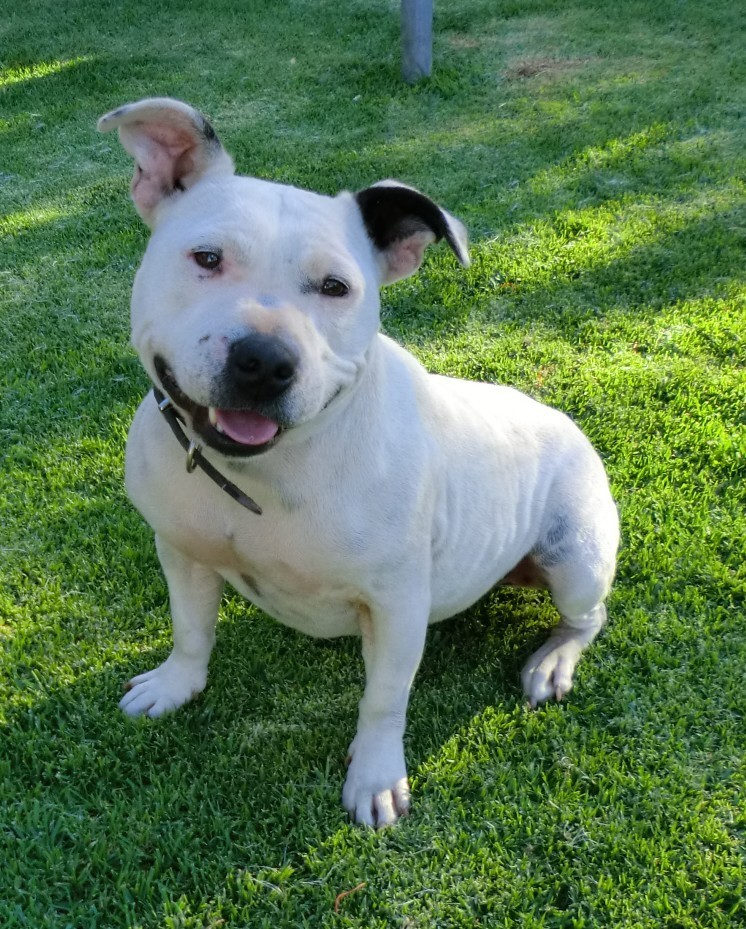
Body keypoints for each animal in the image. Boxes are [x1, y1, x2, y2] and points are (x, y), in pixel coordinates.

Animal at [98, 97, 619, 827]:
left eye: (335, 287)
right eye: (206, 257)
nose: (264, 358)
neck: (269, 470)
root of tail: (568, 424)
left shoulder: (397, 602)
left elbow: (383, 699)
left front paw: (374, 775)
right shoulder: (181, 551)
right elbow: (191, 629)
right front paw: (177, 684)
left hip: (575, 559)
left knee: (587, 616)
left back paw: (553, 661)